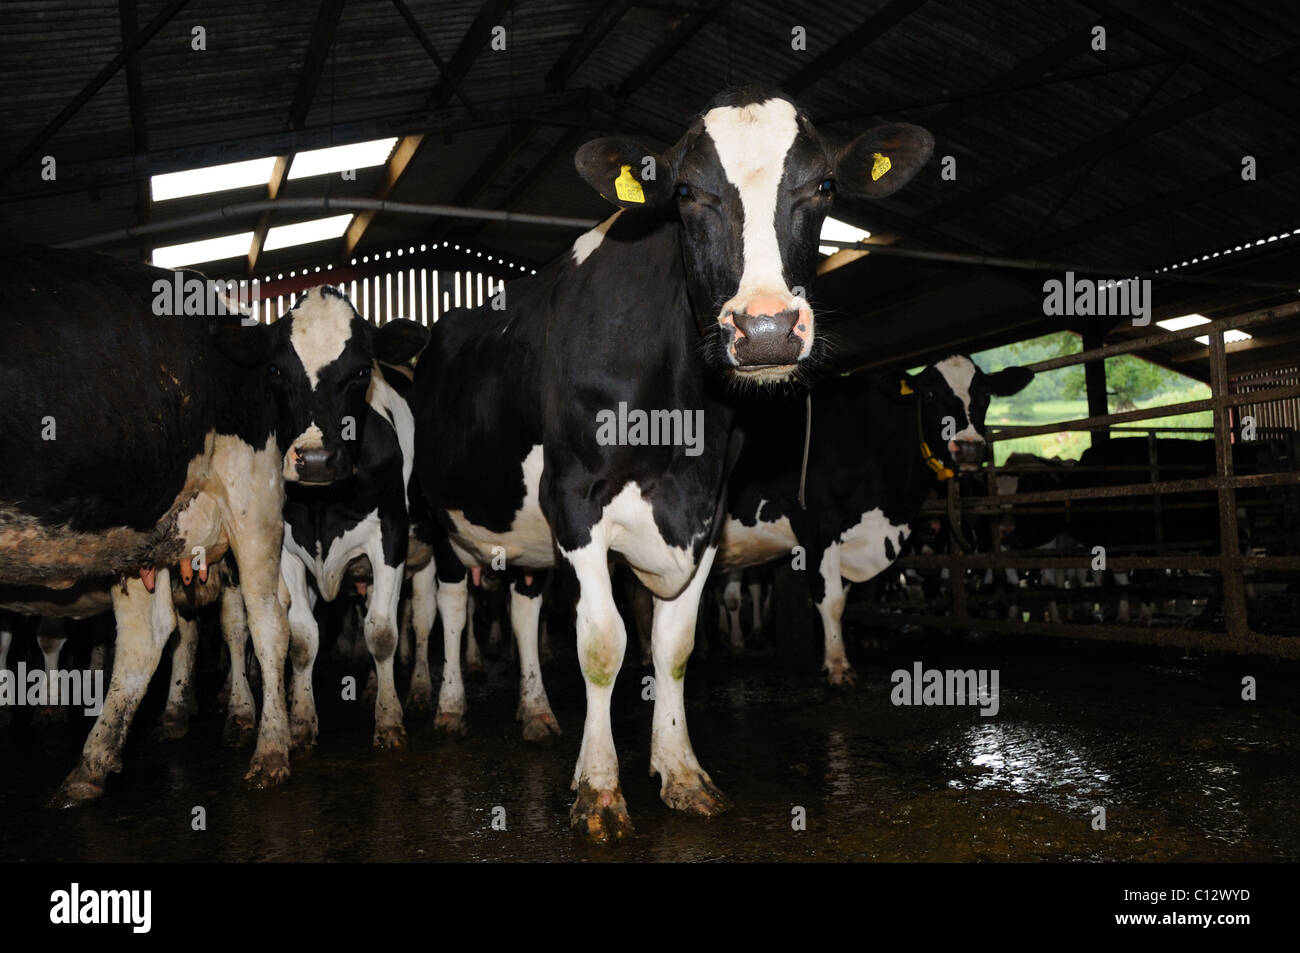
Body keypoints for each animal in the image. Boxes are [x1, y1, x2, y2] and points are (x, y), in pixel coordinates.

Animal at [410, 85, 930, 837]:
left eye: (826, 186)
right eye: (685, 191)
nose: (765, 330)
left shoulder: (706, 509)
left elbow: (673, 645)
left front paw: (680, 771)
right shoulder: (574, 498)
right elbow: (603, 643)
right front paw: (600, 790)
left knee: (523, 609)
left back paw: (537, 713)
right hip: (436, 513)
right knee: (449, 606)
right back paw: (449, 707)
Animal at [717, 353, 1029, 681]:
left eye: (986, 396)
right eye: (930, 394)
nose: (969, 447)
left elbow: (842, 600)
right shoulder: (818, 526)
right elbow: (828, 599)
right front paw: (838, 666)